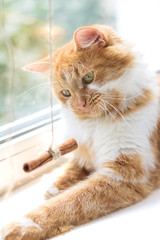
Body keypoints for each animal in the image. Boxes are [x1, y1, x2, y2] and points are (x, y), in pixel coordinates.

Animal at [1, 24, 160, 240]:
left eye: (88, 78)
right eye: (66, 93)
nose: (79, 106)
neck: (97, 123)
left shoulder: (123, 173)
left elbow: (71, 200)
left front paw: (22, 225)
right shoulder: (80, 146)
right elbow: (72, 167)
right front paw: (55, 184)